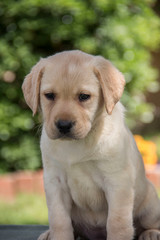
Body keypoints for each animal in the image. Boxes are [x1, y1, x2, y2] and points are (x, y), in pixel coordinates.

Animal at [21, 50, 160, 240]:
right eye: (49, 95)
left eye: (84, 96)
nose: (63, 125)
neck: (78, 143)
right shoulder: (55, 182)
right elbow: (59, 220)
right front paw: (58, 234)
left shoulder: (117, 181)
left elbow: (117, 222)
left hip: (150, 204)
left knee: (149, 223)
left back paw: (151, 233)